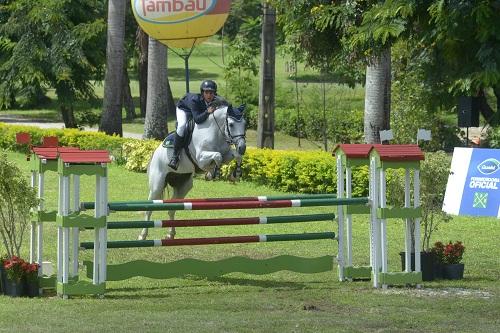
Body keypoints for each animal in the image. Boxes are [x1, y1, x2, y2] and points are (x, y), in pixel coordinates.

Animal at [139, 104, 246, 239]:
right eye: (231, 124)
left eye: (245, 123)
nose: (242, 147)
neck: (216, 132)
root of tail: (154, 154)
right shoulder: (201, 158)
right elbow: (217, 156)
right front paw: (212, 173)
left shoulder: (227, 154)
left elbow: (235, 156)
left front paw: (236, 174)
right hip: (157, 185)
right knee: (149, 209)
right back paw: (142, 235)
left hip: (183, 185)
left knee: (172, 209)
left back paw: (170, 234)